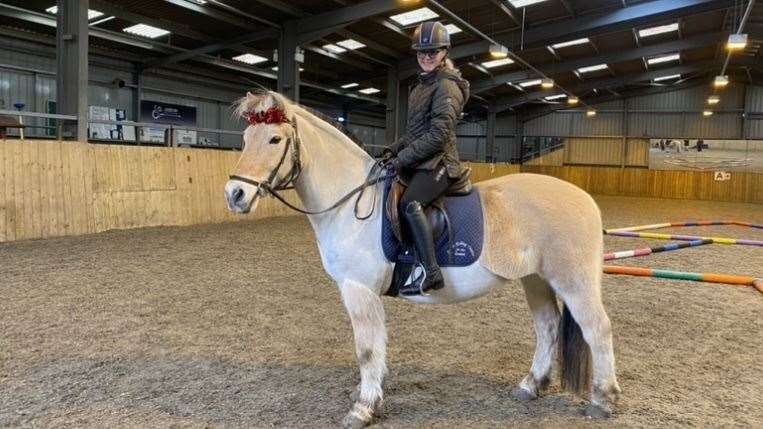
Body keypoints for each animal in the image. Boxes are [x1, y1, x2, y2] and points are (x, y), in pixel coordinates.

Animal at [222, 89, 620, 424]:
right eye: (244, 140)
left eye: (274, 139)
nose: (234, 194)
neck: (350, 204)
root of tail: (584, 197)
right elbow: (377, 346)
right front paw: (371, 394)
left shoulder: (358, 289)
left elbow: (366, 349)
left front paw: (363, 408)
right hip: (534, 278)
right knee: (547, 325)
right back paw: (531, 385)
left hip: (572, 281)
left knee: (597, 329)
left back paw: (603, 400)